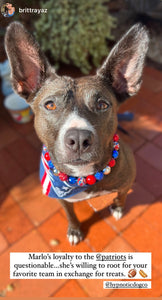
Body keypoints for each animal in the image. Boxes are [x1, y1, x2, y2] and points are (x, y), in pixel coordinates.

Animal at [5, 22, 149, 244]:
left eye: (102, 104)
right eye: (50, 105)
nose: (79, 139)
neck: (82, 177)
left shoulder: (127, 181)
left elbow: (122, 195)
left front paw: (117, 207)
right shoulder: (62, 199)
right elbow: (70, 213)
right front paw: (74, 230)